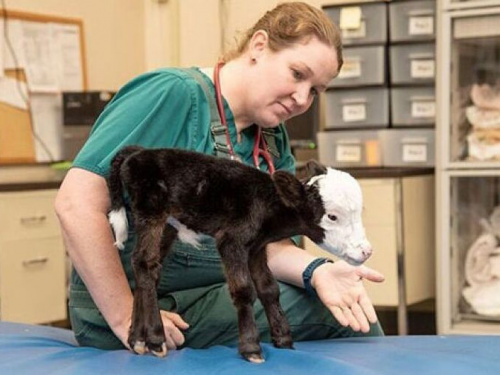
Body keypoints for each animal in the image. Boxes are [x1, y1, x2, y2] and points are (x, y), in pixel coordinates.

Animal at [106, 146, 372, 364]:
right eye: (332, 216)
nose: (366, 251)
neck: (266, 206)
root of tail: (137, 153)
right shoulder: (231, 240)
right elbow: (244, 290)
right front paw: (251, 348)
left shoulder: (256, 247)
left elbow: (269, 289)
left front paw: (283, 339)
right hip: (150, 209)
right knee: (145, 263)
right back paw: (154, 338)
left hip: (168, 224)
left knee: (145, 269)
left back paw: (137, 340)